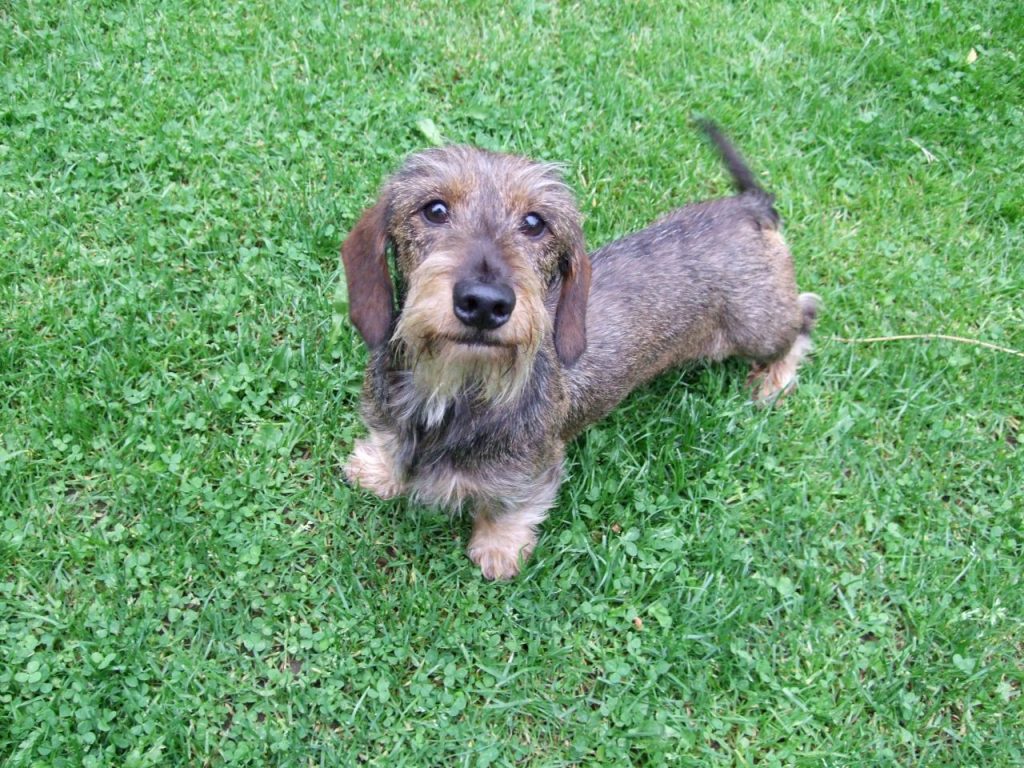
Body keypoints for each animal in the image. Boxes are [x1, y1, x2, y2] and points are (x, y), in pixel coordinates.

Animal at [339, 121, 819, 577]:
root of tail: (748, 207)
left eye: (535, 223)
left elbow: (511, 508)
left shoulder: (534, 469)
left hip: (757, 327)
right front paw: (377, 469)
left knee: (804, 317)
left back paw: (774, 382)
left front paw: (498, 549)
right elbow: (387, 442)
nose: (485, 303)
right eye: (434, 210)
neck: (453, 386)